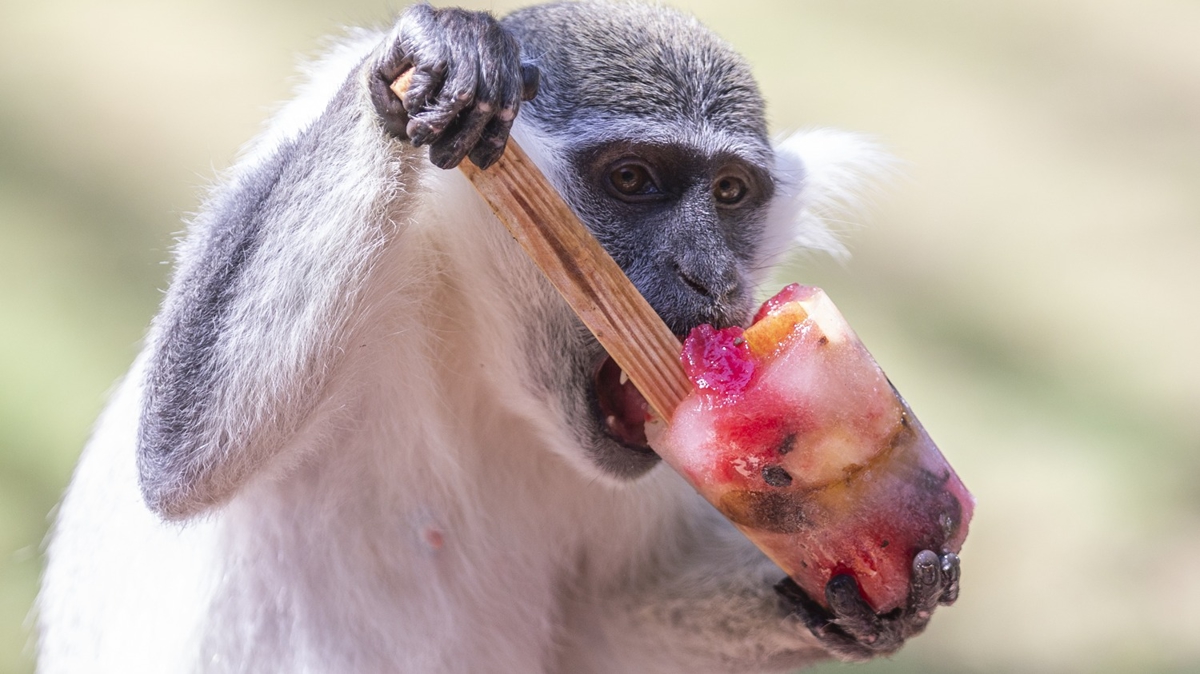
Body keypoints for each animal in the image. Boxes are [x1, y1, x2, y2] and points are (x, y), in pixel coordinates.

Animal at [37, 2, 960, 666]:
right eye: (634, 180)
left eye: (731, 193)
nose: (713, 278)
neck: (480, 357)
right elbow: (185, 447)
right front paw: (431, 56)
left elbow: (607, 624)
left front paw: (851, 597)